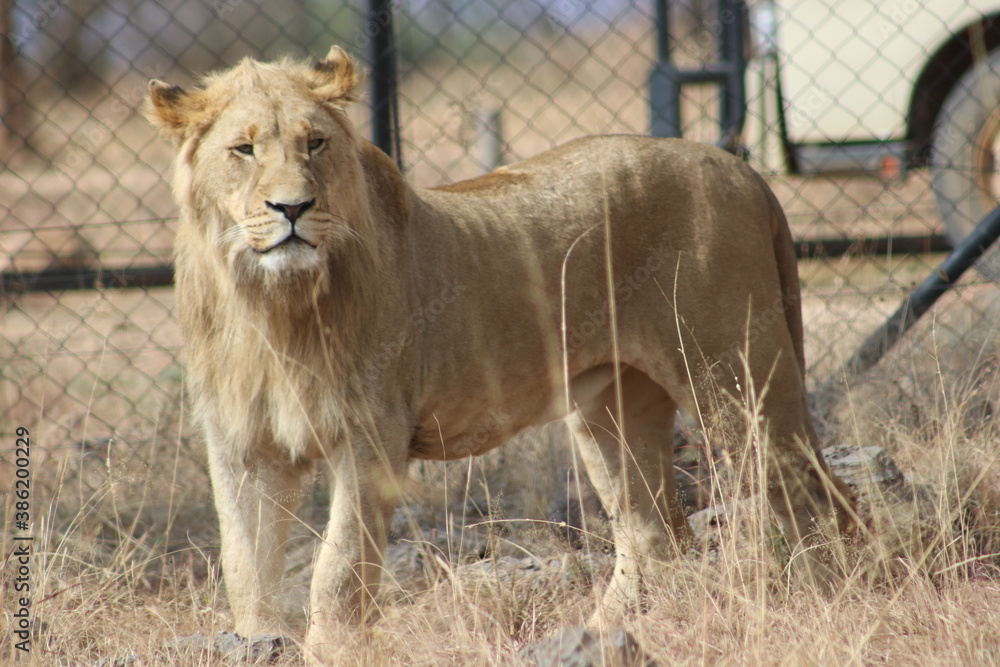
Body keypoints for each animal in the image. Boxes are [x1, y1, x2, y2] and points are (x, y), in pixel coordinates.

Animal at [146, 46, 856, 652]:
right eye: (243, 149)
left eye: (314, 143)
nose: (292, 208)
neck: (270, 305)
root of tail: (741, 168)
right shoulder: (242, 447)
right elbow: (245, 568)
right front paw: (259, 641)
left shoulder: (370, 433)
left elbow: (338, 570)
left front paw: (331, 651)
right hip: (610, 412)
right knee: (656, 538)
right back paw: (597, 638)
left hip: (734, 379)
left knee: (817, 498)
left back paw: (832, 603)